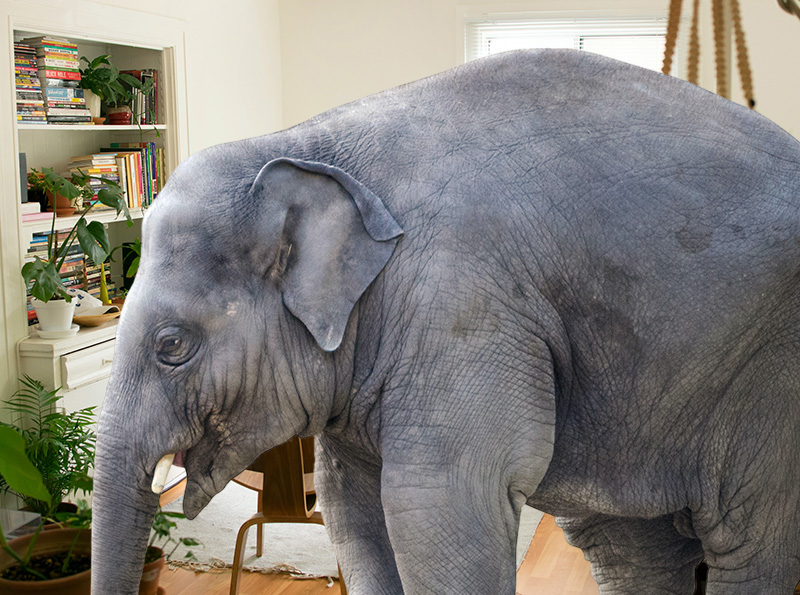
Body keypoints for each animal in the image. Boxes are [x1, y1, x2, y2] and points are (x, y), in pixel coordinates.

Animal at [89, 49, 800, 592]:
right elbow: (352, 509)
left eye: (172, 345)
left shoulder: (464, 309)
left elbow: (433, 505)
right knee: (631, 550)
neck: (303, 142)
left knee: (751, 547)